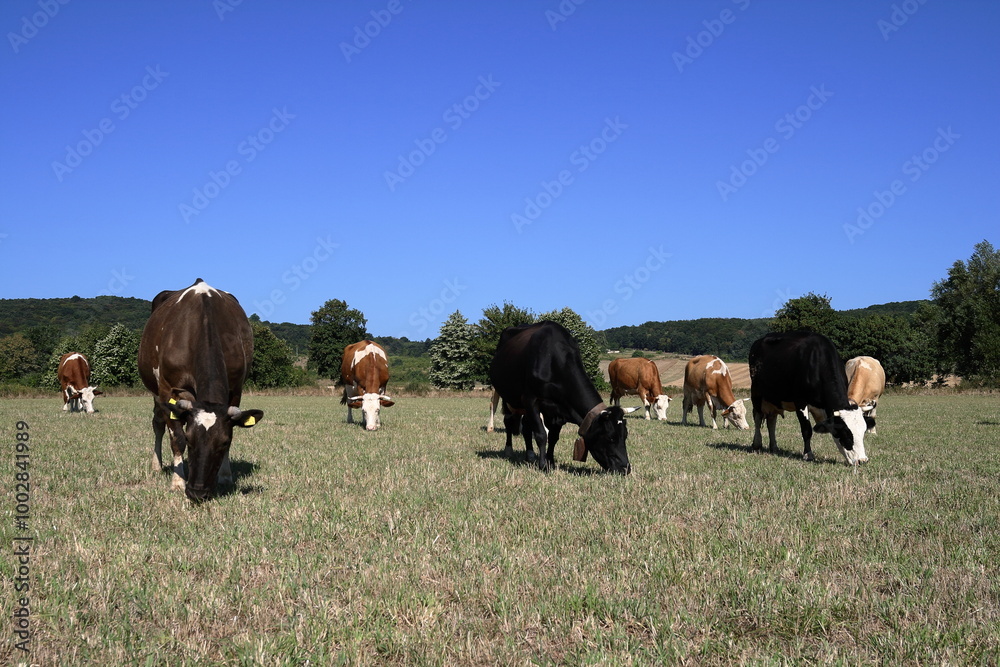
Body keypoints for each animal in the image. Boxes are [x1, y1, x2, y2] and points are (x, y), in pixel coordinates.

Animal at [137, 279, 264, 502]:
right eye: (190, 439)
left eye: (223, 442)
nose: (197, 491)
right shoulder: (167, 389)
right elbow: (176, 438)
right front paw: (178, 482)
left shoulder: (236, 389)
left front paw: (225, 476)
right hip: (154, 391)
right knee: (158, 424)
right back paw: (157, 465)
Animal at [489, 321, 631, 474]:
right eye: (610, 438)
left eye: (625, 435)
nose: (626, 468)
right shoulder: (530, 399)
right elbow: (541, 435)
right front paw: (543, 465)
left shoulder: (560, 409)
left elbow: (553, 437)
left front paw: (550, 461)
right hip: (506, 396)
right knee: (508, 420)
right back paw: (509, 450)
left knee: (526, 426)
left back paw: (530, 454)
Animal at [749, 331, 872, 466]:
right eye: (845, 434)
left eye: (863, 432)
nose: (862, 460)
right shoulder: (800, 402)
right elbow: (806, 429)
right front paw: (808, 454)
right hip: (756, 392)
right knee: (757, 417)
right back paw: (756, 445)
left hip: (774, 398)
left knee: (771, 420)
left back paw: (774, 447)